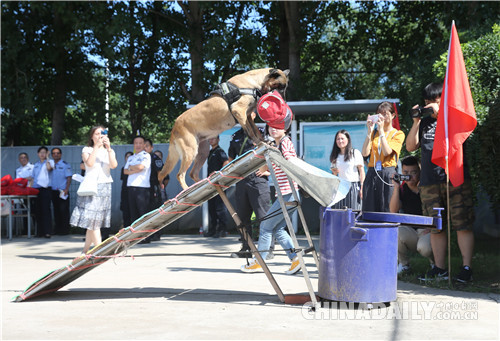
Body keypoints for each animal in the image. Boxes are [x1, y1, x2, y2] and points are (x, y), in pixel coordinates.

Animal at [156, 66, 290, 189]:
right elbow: (251, 133)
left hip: (202, 151)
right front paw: (259, 143)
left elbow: (256, 131)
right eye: (280, 87)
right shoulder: (239, 111)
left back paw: (203, 186)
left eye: (284, 87)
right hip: (191, 151)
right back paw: (186, 190)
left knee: (193, 173)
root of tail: (174, 126)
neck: (254, 82)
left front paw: (264, 141)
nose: (284, 101)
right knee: (180, 175)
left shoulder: (248, 116)